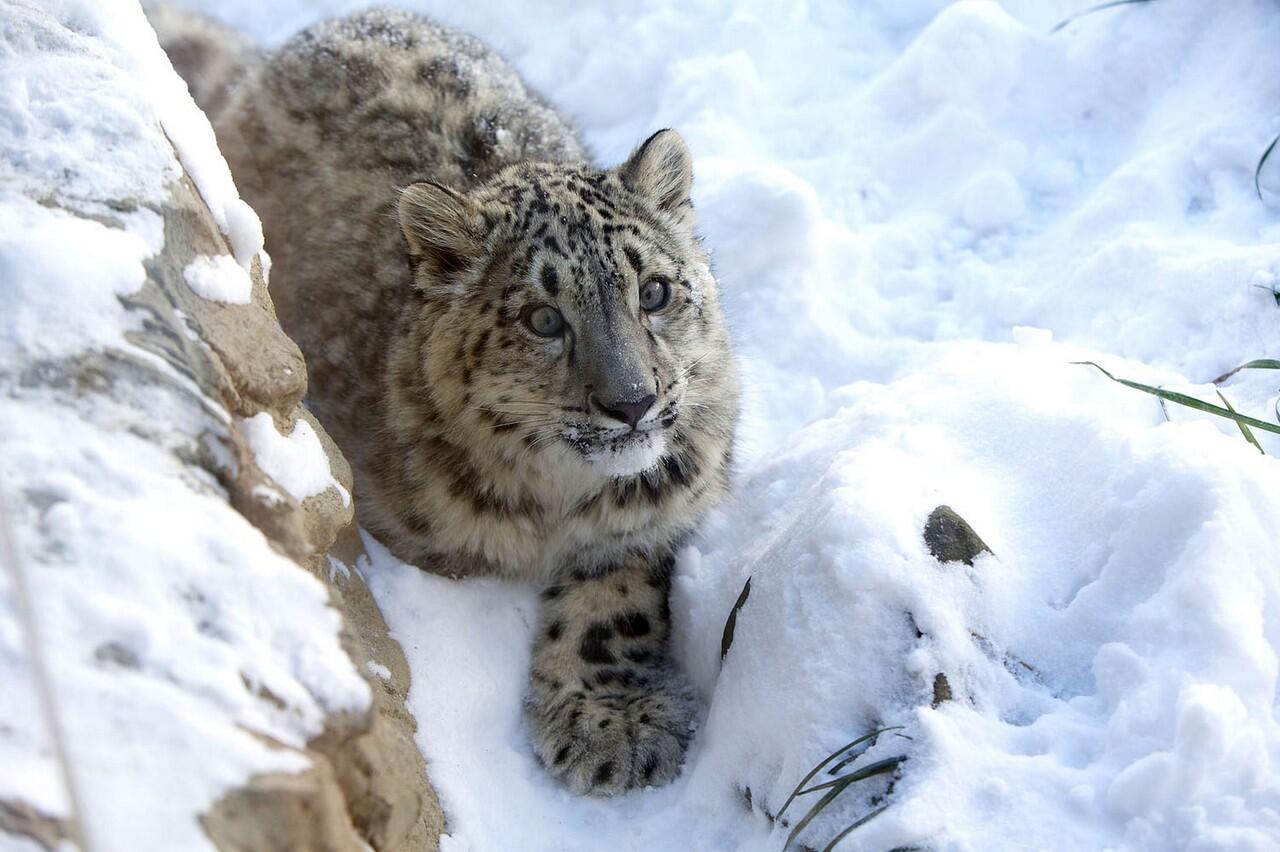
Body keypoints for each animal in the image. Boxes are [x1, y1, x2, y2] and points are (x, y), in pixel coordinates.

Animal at [157, 6, 742, 793]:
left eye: (653, 290)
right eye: (543, 318)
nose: (633, 402)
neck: (559, 497)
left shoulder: (664, 500)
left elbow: (613, 599)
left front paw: (611, 722)